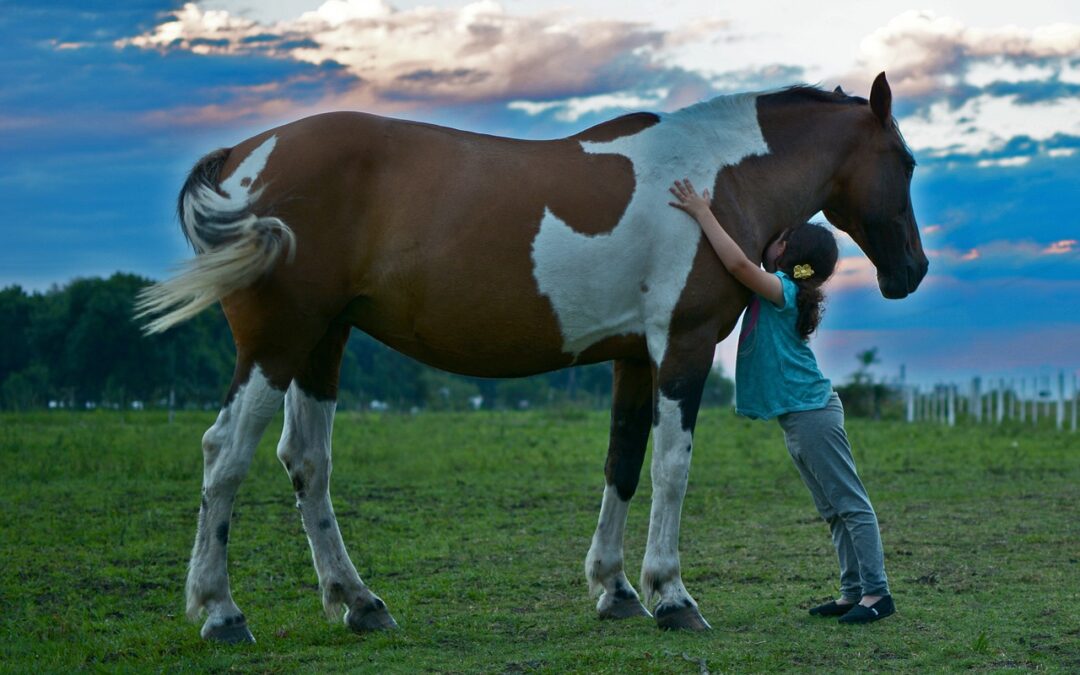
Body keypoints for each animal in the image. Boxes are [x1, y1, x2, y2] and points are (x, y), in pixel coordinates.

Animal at [137, 71, 928, 639]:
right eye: (908, 161)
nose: (912, 271)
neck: (716, 178)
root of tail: (245, 157)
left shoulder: (633, 357)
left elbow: (623, 463)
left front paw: (615, 590)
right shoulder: (684, 345)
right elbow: (672, 469)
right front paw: (672, 595)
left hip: (321, 342)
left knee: (306, 462)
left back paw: (359, 603)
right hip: (278, 342)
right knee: (226, 453)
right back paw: (221, 612)